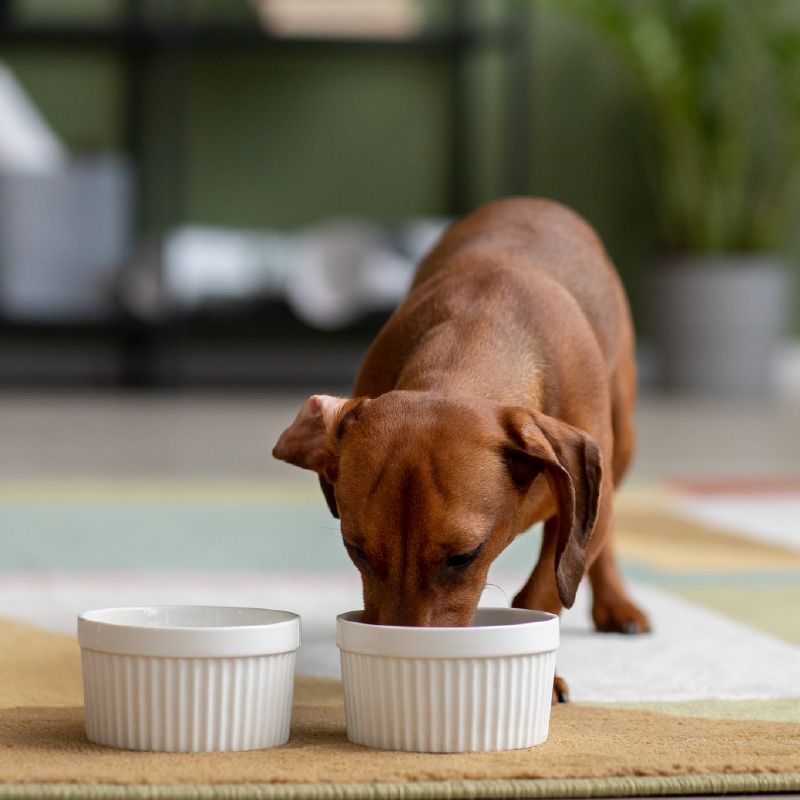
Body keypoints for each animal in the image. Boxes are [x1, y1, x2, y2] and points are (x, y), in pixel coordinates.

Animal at [273, 197, 650, 702]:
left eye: (464, 557)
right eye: (356, 550)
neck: (479, 329)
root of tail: (535, 202)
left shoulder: (584, 500)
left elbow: (544, 593)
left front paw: (545, 678)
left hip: (620, 444)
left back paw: (615, 601)